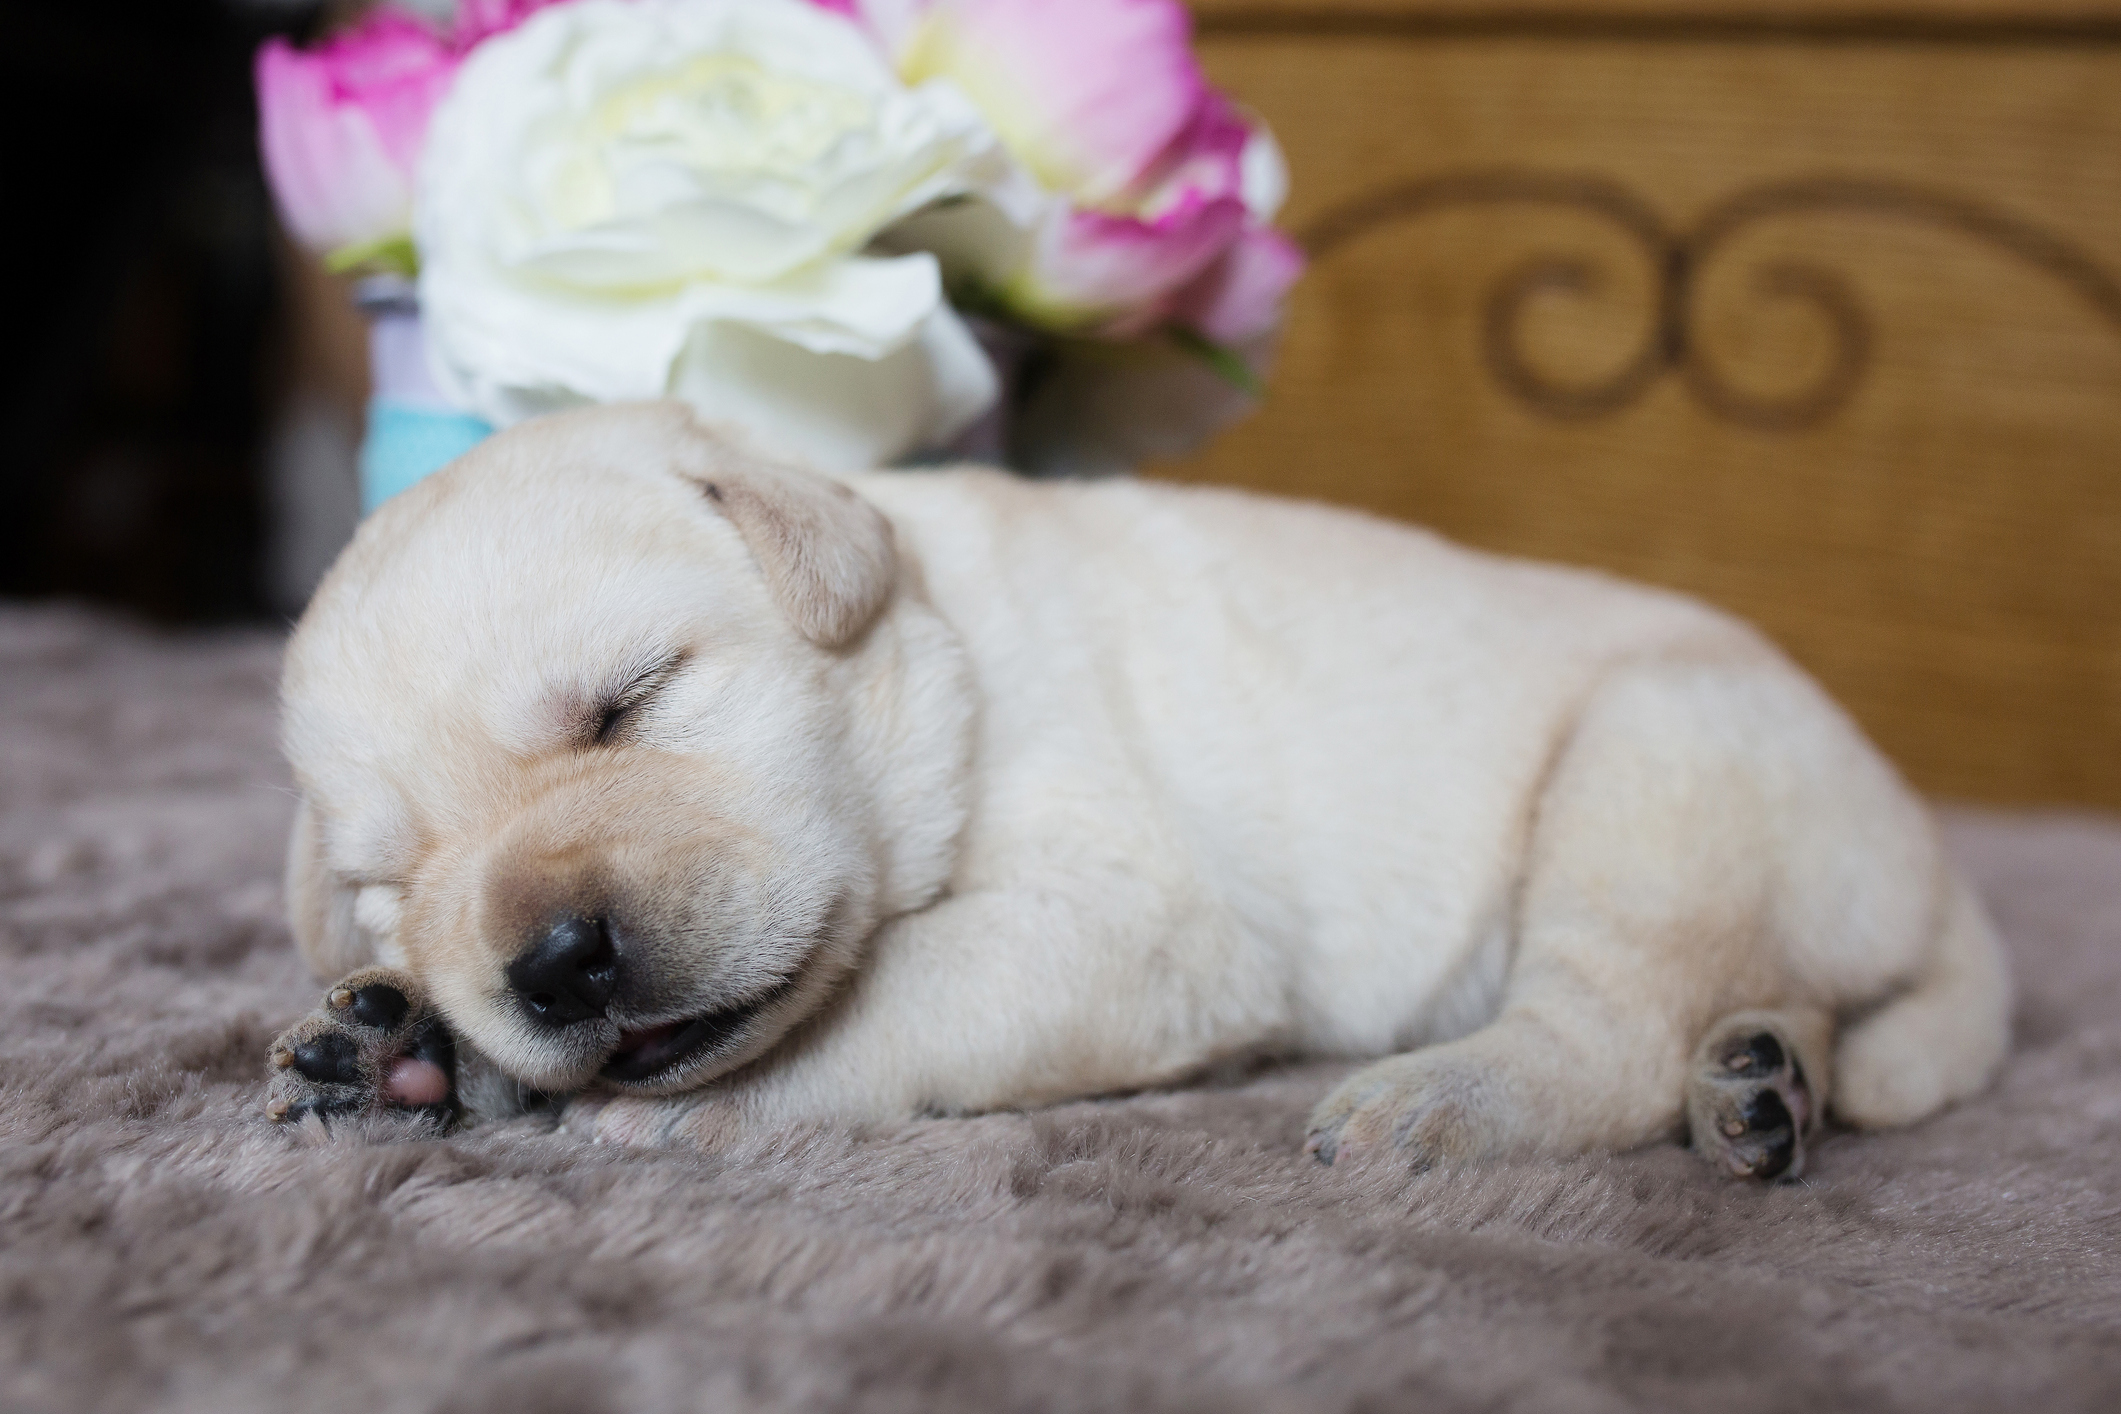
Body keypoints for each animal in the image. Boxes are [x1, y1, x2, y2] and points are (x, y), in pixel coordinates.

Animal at [265, 400, 2002, 1187]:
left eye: (630, 700)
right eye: (389, 874)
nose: (552, 964)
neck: (939, 655)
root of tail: (1933, 864)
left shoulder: (1133, 916)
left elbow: (888, 992)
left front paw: (655, 1104)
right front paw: (395, 1037)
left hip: (1657, 765)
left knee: (1615, 1029)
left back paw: (1438, 1100)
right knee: (1757, 996)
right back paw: (1765, 1076)